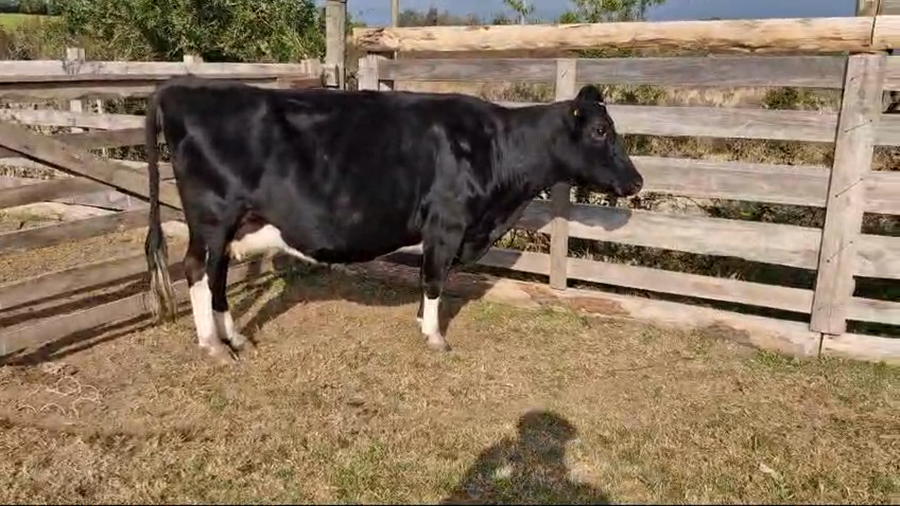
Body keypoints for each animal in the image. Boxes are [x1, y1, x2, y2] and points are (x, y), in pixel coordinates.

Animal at [143, 76, 643, 363]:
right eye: (601, 131)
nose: (637, 181)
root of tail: (178, 88)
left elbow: (430, 278)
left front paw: (422, 322)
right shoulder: (447, 224)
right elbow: (436, 279)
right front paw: (435, 336)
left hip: (231, 224)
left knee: (216, 276)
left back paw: (234, 339)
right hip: (212, 218)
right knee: (196, 270)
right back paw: (213, 347)